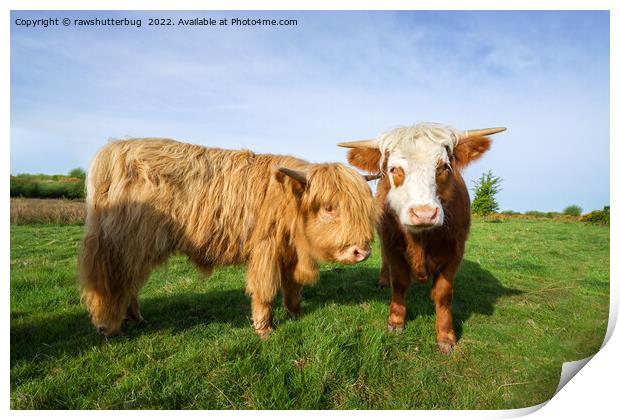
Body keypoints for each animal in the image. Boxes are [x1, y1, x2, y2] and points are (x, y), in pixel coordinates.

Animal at [342, 123, 506, 352]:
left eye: (444, 167)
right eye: (394, 169)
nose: (424, 214)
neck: (420, 240)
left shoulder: (456, 251)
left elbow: (443, 293)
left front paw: (446, 336)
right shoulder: (392, 245)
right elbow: (399, 282)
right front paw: (396, 321)